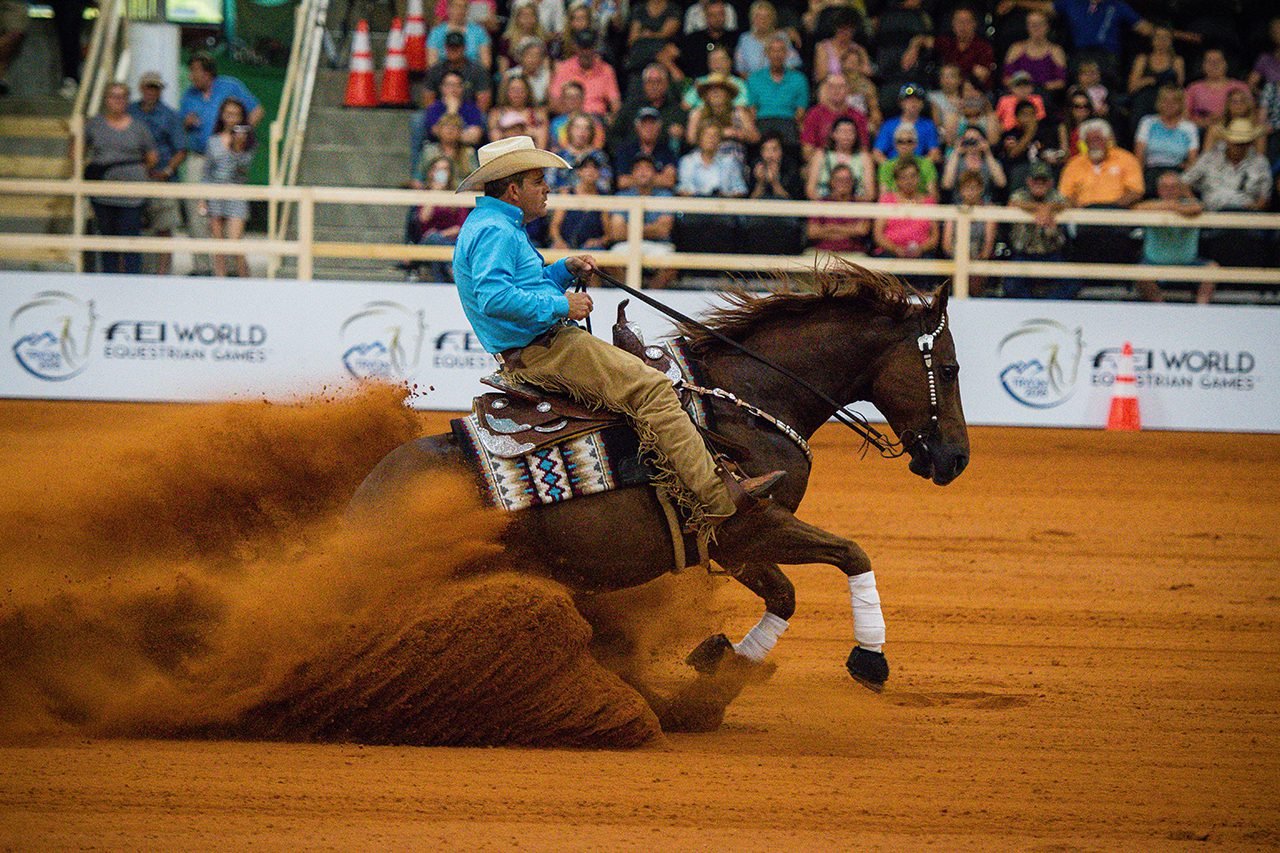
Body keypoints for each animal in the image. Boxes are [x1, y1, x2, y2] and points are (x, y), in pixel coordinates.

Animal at [349, 265, 969, 695]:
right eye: (949, 368)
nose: (957, 459)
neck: (746, 402)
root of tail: (366, 496)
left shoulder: (730, 541)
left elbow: (785, 595)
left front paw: (724, 660)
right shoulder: (749, 524)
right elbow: (852, 554)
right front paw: (871, 659)